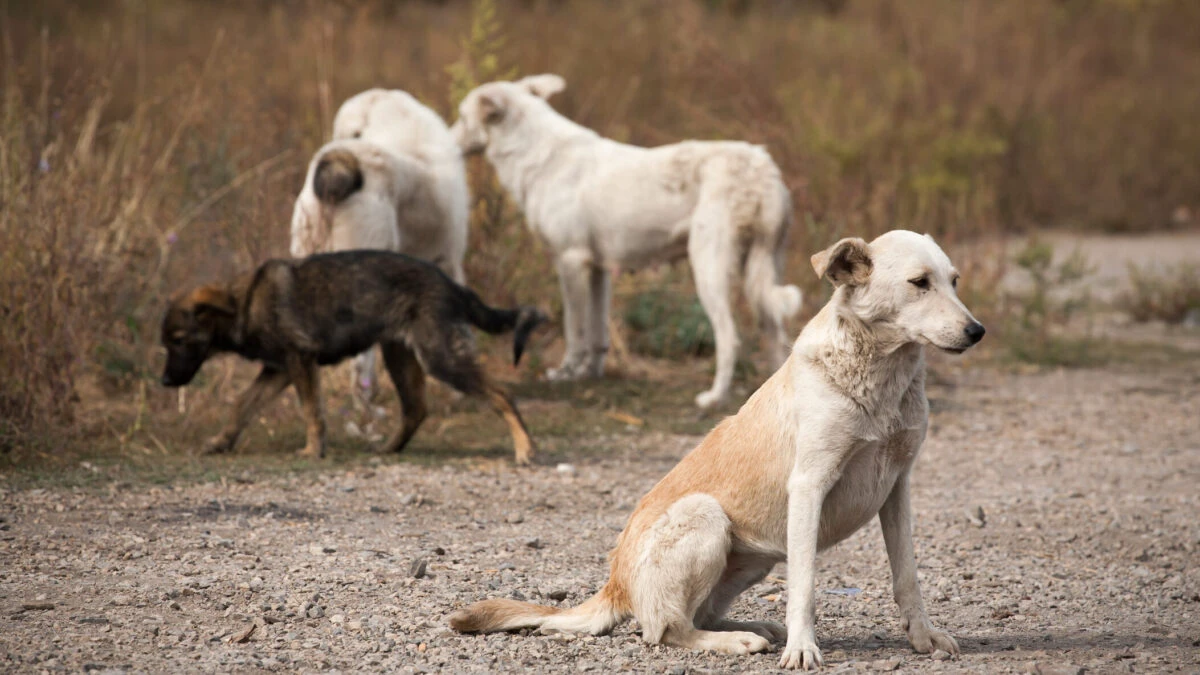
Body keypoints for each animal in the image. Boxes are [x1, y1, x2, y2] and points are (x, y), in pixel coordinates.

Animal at [160, 247, 544, 461]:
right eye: (166, 342)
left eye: (179, 340)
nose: (164, 381)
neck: (243, 302)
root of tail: (454, 286)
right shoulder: (278, 369)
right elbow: (242, 405)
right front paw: (220, 442)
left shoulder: (299, 361)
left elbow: (312, 412)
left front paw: (313, 450)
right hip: (400, 357)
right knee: (416, 409)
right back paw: (389, 449)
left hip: (441, 358)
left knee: (501, 394)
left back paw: (525, 449)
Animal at [448, 76, 796, 408]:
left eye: (461, 117)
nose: (446, 144)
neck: (535, 154)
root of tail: (763, 168)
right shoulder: (598, 271)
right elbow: (597, 337)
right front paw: (591, 376)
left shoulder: (570, 262)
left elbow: (575, 333)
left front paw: (565, 374)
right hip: (762, 277)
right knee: (776, 337)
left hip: (709, 273)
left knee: (729, 339)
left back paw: (714, 398)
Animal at [451, 229, 984, 667]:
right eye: (919, 283)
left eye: (954, 281)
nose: (977, 331)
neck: (882, 376)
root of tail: (614, 584)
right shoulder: (810, 485)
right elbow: (805, 586)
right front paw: (802, 648)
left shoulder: (897, 487)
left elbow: (907, 576)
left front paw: (923, 638)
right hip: (707, 516)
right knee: (666, 630)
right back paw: (739, 641)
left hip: (756, 558)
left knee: (696, 616)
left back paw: (757, 627)